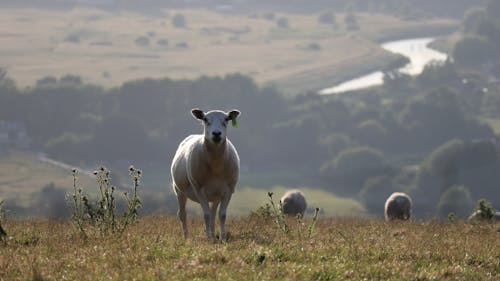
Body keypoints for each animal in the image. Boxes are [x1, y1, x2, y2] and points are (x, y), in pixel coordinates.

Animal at [171, 108, 241, 240]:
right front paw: (208, 238)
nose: (216, 134)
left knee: (214, 214)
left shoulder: (228, 190)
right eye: (205, 119)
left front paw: (222, 238)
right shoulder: (199, 189)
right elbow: (206, 215)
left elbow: (222, 215)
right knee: (182, 214)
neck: (216, 166)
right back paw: (186, 237)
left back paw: (214, 235)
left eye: (226, 119)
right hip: (179, 190)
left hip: (215, 195)